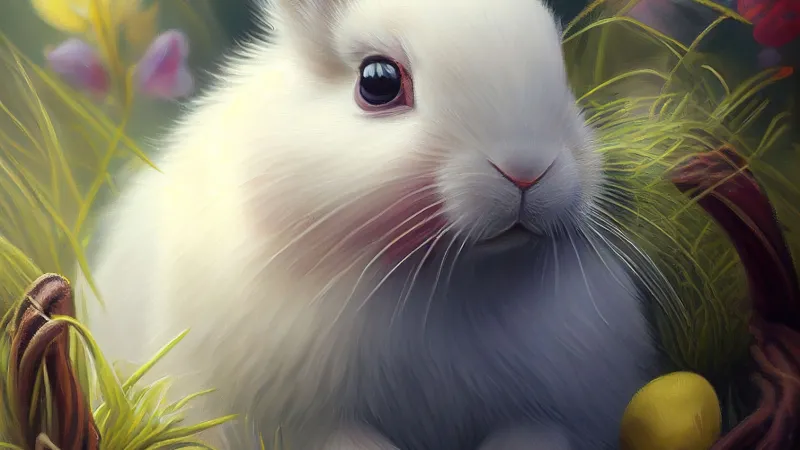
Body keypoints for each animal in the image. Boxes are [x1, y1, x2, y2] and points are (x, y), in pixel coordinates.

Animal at [77, 0, 660, 448]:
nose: (527, 168)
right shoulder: (306, 419)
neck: (443, 279)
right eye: (378, 82)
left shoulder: (551, 411)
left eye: (562, 75)